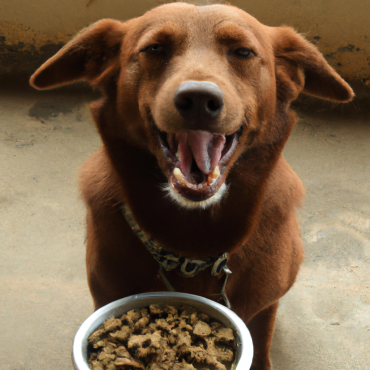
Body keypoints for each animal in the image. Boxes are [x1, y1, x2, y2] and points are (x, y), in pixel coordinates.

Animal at [29, 2, 352, 368]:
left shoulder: (263, 310)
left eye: (243, 51)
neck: (193, 242)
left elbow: (260, 347)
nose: (198, 99)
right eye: (155, 48)